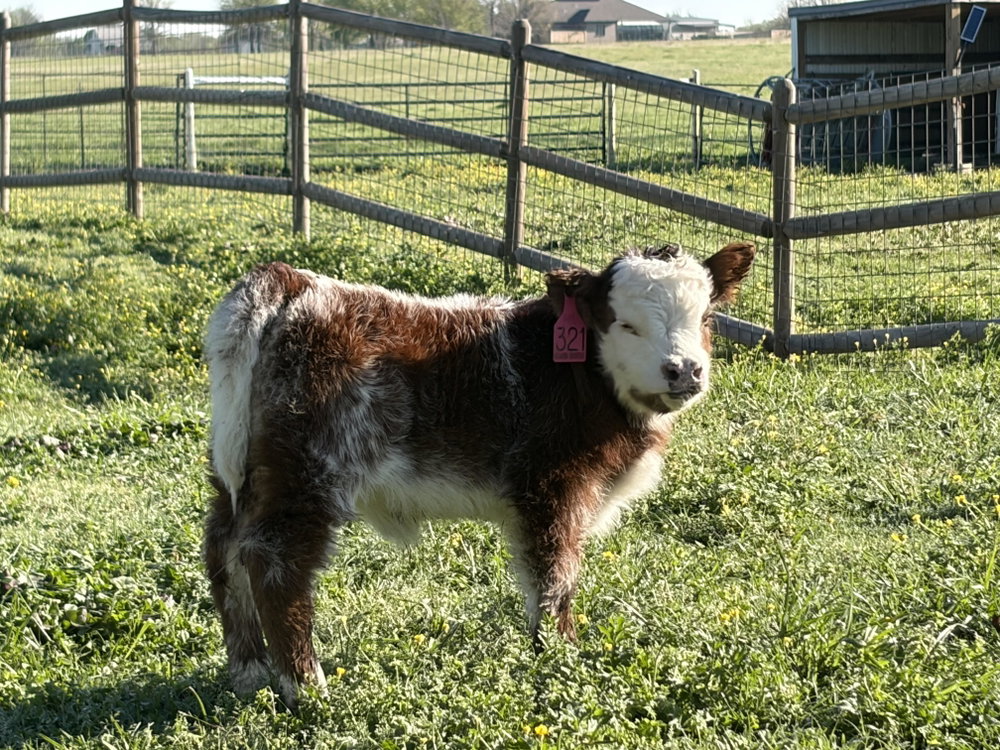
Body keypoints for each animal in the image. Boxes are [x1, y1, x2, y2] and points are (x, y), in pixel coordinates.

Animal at [202, 240, 755, 706]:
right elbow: (553, 576)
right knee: (274, 560)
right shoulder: (550, 486)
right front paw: (560, 657)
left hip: (240, 470)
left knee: (224, 547)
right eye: (624, 323)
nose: (684, 370)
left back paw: (248, 673)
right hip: (307, 475)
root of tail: (293, 281)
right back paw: (307, 685)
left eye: (707, 316)